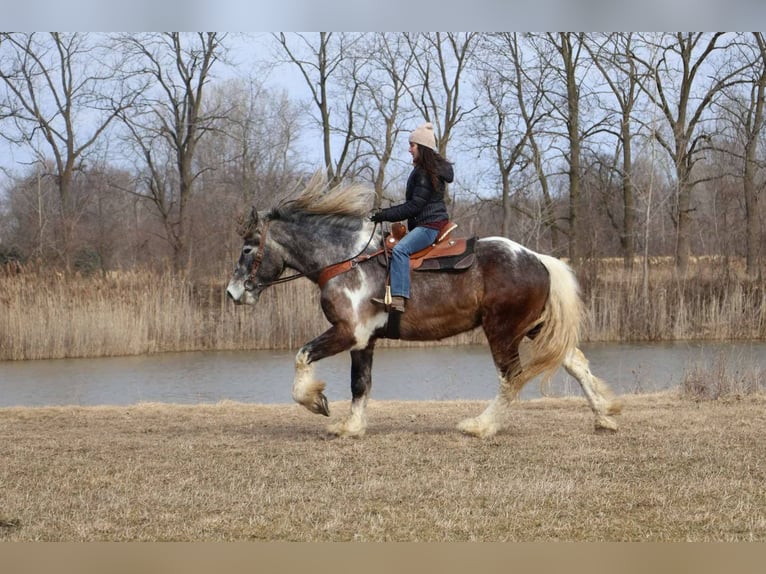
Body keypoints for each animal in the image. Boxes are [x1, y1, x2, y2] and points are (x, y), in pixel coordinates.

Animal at [226, 173, 621, 438]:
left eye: (247, 248)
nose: (232, 293)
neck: (347, 260)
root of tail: (538, 258)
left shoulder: (347, 332)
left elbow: (302, 356)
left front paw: (316, 402)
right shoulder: (364, 340)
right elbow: (360, 384)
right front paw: (352, 426)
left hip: (503, 332)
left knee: (511, 378)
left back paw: (481, 426)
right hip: (534, 326)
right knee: (575, 363)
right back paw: (604, 416)